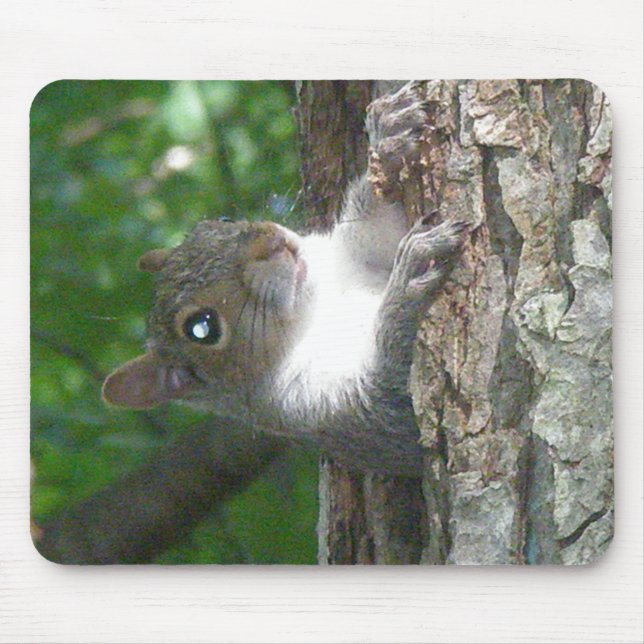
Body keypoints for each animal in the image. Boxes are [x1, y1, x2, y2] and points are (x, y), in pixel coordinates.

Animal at [102, 82, 468, 477]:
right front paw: (409, 282)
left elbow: (377, 229)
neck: (314, 307)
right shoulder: (334, 412)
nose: (272, 242)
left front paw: (387, 139)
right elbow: (395, 397)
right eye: (202, 328)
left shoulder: (355, 257)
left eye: (222, 221)